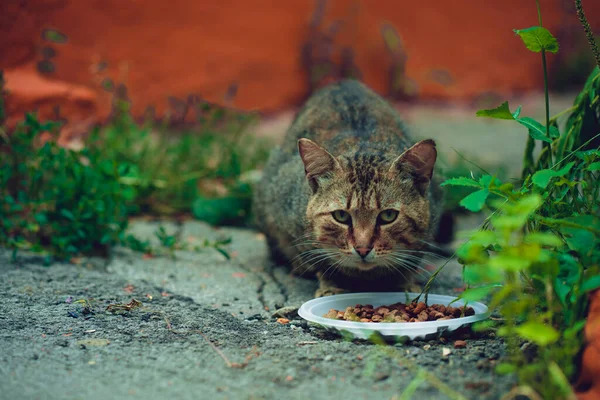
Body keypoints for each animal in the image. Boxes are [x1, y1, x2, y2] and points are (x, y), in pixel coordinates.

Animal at [251, 79, 442, 296]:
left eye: (388, 216)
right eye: (341, 216)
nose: (362, 249)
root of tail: (344, 82)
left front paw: (405, 283)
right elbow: (319, 260)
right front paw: (331, 286)